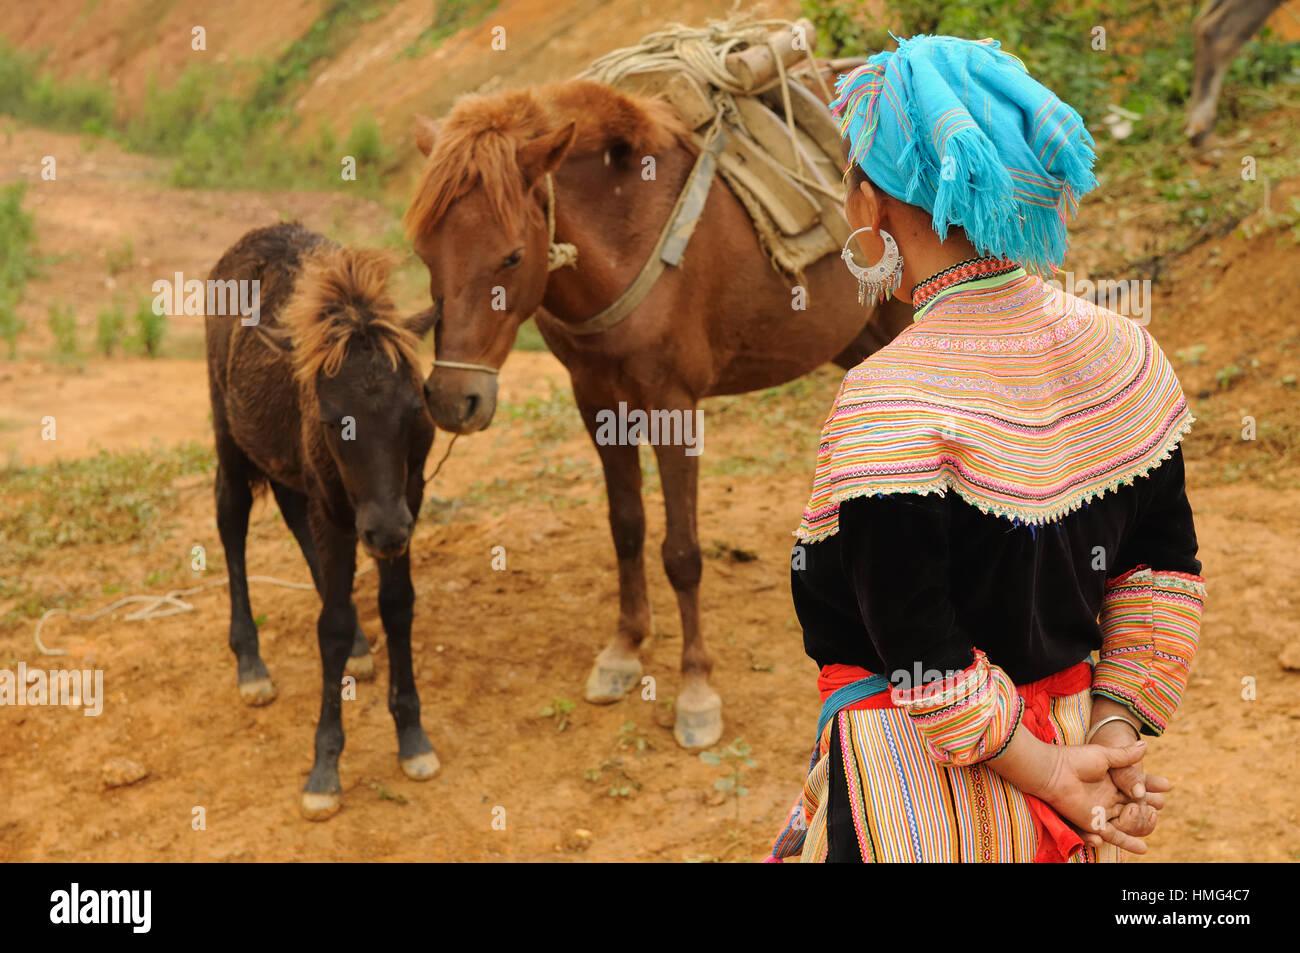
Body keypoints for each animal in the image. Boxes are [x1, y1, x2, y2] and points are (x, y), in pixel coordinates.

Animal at [204, 223, 441, 816]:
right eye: (336, 421)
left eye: (415, 407)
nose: (385, 531)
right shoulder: (342, 508)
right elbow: (327, 627)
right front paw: (325, 769)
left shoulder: (407, 496)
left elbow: (397, 606)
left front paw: (413, 737)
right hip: (228, 435)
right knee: (230, 517)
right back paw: (250, 664)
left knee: (291, 515)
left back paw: (359, 644)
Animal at [400, 81, 909, 748]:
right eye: (424, 252)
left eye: (510, 258)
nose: (452, 399)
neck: (627, 235)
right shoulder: (595, 400)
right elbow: (627, 527)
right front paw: (623, 651)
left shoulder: (674, 406)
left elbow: (682, 553)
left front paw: (695, 690)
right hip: (857, 336)